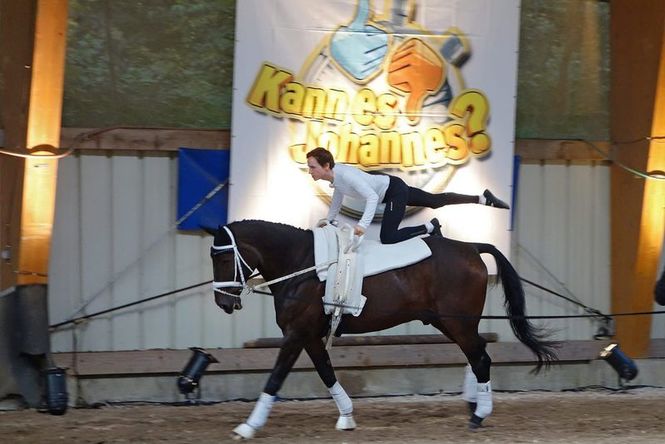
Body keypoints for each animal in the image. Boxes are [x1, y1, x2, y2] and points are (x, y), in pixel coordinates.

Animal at [210, 220, 556, 438]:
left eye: (224, 259)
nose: (223, 302)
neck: (303, 265)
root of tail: (471, 247)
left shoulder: (296, 333)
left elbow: (276, 377)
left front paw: (248, 427)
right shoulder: (308, 335)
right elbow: (325, 371)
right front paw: (347, 417)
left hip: (457, 322)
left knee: (480, 357)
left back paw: (478, 415)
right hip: (448, 321)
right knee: (477, 353)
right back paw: (474, 404)